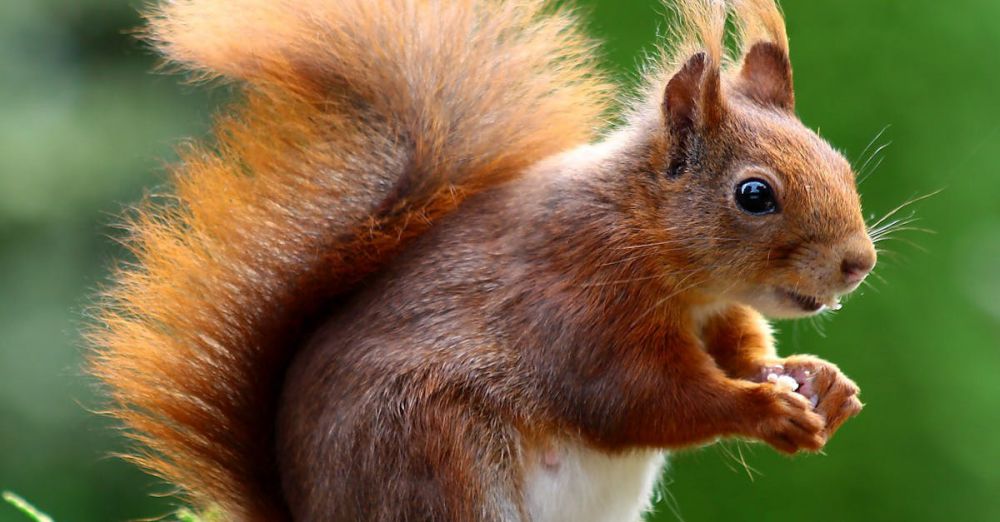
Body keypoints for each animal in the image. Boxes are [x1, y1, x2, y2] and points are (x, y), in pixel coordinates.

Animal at [92, 0, 876, 516]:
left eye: (837, 161)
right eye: (754, 194)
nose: (858, 262)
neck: (650, 243)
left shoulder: (716, 313)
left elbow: (741, 349)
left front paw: (818, 381)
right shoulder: (576, 306)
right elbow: (641, 400)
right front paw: (761, 407)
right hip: (434, 458)